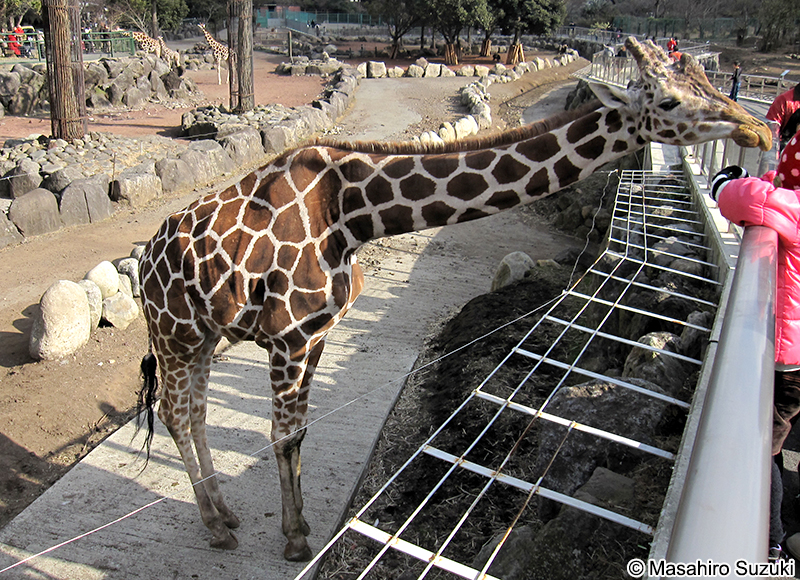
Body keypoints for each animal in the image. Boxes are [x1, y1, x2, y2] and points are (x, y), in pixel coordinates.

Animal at [136, 37, 771, 560]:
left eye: (708, 81)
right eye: (668, 100)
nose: (757, 131)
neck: (353, 215)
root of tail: (143, 262)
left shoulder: (315, 336)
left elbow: (298, 434)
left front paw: (301, 529)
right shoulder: (288, 338)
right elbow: (285, 436)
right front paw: (295, 541)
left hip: (203, 335)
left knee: (193, 411)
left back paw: (224, 515)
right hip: (175, 333)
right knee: (174, 410)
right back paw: (215, 527)